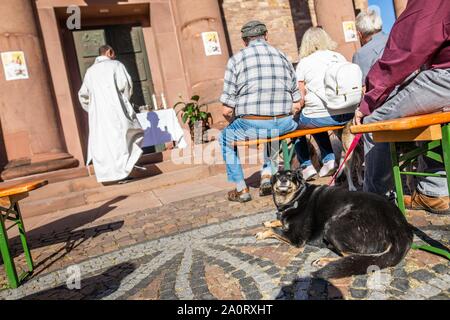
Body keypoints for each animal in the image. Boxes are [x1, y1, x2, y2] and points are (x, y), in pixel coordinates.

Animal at [255, 170, 414, 278]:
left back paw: (325, 260)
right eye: (277, 175)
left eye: (290, 175)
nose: (282, 180)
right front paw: (269, 221)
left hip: (333, 226)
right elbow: (278, 221)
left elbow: (276, 230)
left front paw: (263, 233)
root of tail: (400, 228)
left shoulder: (296, 237)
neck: (295, 199)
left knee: (353, 257)